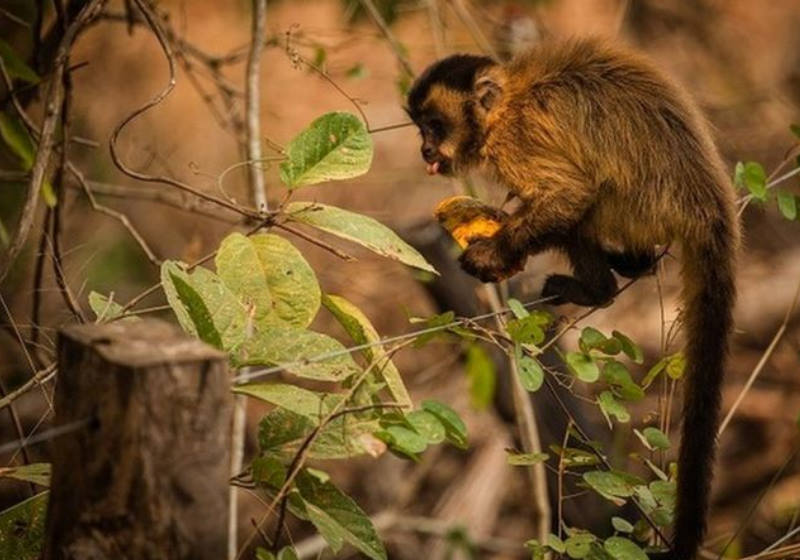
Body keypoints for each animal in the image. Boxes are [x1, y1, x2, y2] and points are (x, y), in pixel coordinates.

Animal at [407, 38, 739, 560]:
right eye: (421, 127)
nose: (424, 149)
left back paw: (599, 288)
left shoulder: (520, 139)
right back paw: (634, 265)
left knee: (585, 205)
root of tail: (709, 205)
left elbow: (568, 194)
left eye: (435, 126)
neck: (507, 108)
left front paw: (493, 253)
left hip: (639, 204)